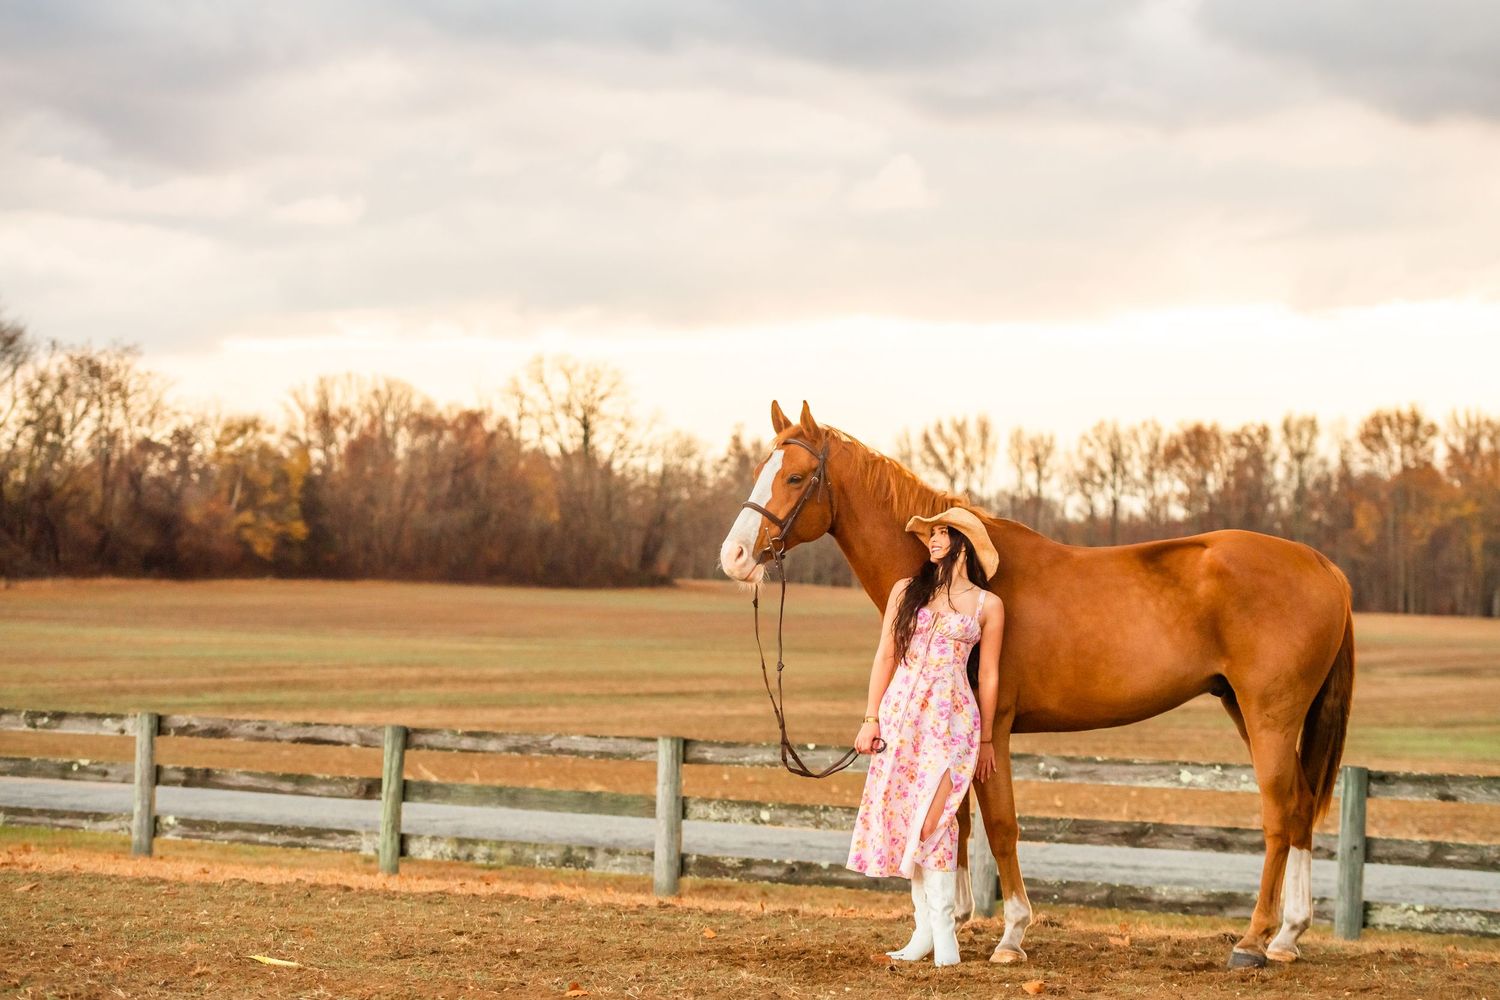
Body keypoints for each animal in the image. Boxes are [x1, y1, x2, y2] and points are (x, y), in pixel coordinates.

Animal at [718, 401, 1354, 969]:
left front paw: (1012, 934)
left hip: (1269, 716)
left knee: (1279, 812)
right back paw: (1288, 936)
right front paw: (959, 921)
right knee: (1300, 805)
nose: (735, 556)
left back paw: (1253, 941)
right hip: (1244, 711)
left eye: (795, 476)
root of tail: (1323, 564)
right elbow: (960, 822)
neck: (969, 573)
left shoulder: (993, 730)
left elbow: (1000, 827)